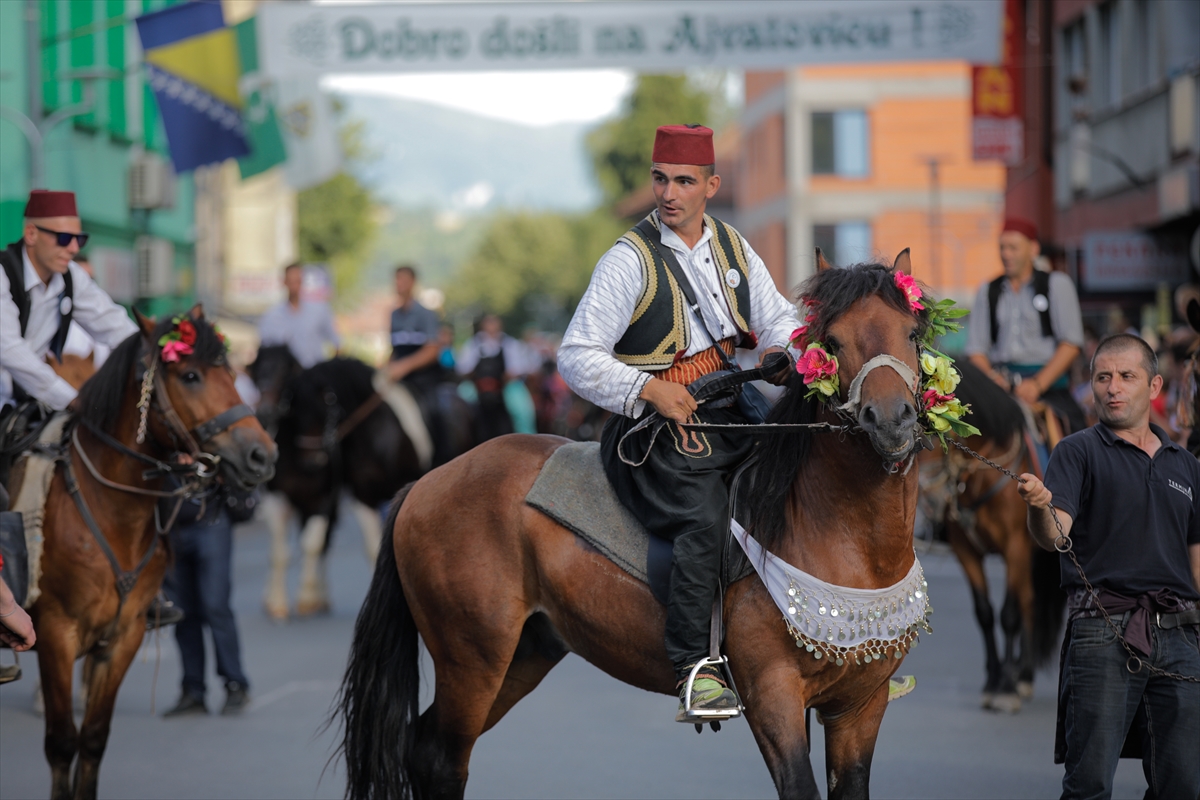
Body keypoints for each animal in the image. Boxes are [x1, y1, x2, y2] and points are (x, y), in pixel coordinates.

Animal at [11, 309, 274, 800]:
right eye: (189, 376)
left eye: (232, 375)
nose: (261, 455)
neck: (111, 510)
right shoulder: (55, 633)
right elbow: (62, 742)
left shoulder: (123, 635)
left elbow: (93, 739)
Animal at [333, 255, 931, 796]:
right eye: (832, 341)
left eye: (912, 331)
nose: (891, 419)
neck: (839, 536)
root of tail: (425, 484)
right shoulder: (773, 697)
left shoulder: (860, 705)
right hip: (472, 659)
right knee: (441, 758)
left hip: (523, 655)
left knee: (425, 748)